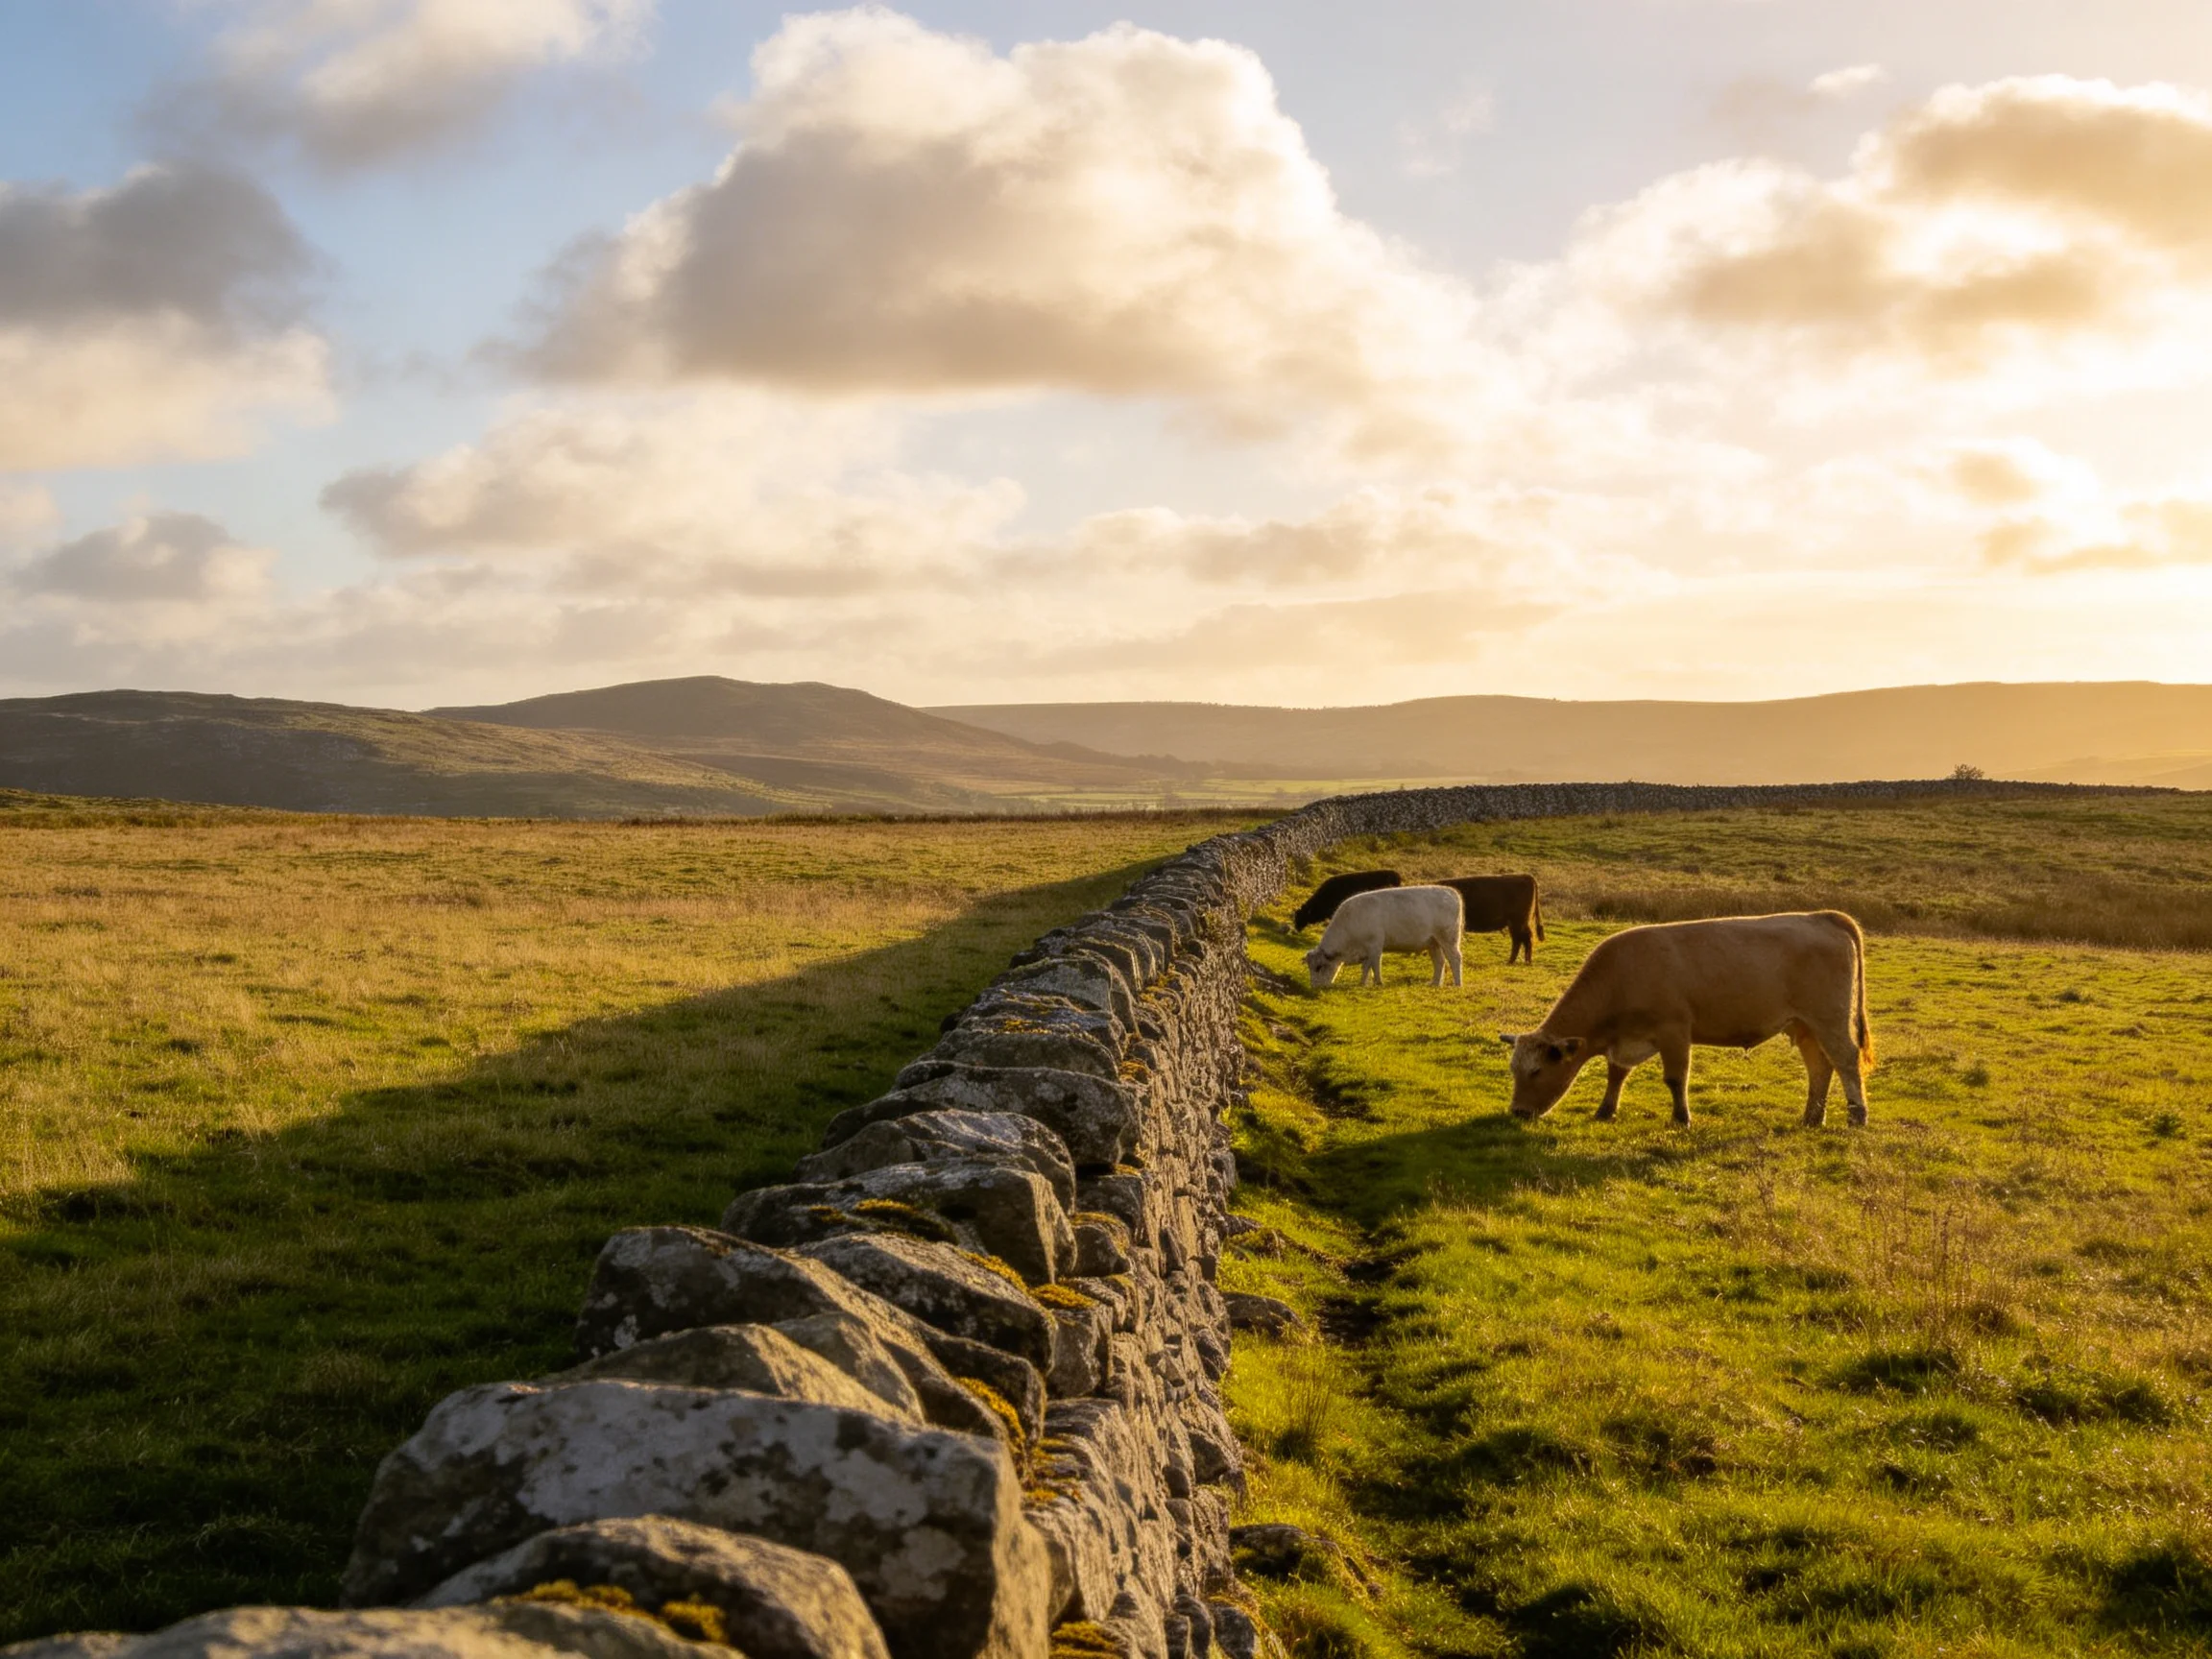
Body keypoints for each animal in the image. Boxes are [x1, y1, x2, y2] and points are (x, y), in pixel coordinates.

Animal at [1306, 885, 1464, 989]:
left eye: (1319, 967)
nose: (1315, 987)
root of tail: (1450, 892)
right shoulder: (1366, 951)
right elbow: (1366, 967)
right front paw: (1363, 983)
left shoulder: (1375, 945)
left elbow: (1375, 964)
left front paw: (1378, 983)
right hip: (1433, 943)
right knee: (1440, 961)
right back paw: (1434, 983)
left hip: (1448, 939)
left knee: (1455, 958)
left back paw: (1457, 984)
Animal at [1497, 911, 1874, 1127]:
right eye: (1513, 1070)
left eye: (1537, 1071)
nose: (1517, 1112)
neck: (1623, 973)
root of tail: (1820, 916)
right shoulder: (1624, 1041)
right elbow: (1616, 1074)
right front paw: (1605, 1111)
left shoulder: (1674, 1032)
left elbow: (1676, 1079)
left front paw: (1681, 1118)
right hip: (1804, 1026)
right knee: (1820, 1067)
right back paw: (1812, 1117)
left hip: (1829, 1019)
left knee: (1846, 1060)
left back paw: (1857, 1115)